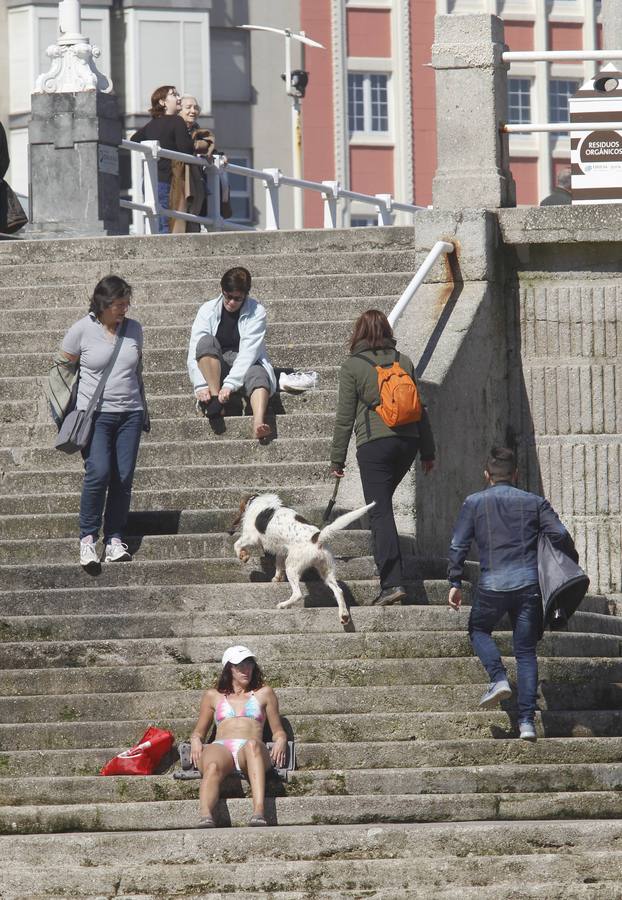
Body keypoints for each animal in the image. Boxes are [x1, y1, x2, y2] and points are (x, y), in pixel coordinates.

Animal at [230, 492, 372, 624]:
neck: (256, 500)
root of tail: (317, 538)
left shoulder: (251, 537)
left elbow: (236, 544)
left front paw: (243, 556)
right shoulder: (281, 550)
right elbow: (278, 564)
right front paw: (277, 578)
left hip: (292, 567)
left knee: (298, 594)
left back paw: (283, 605)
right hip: (326, 570)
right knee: (339, 590)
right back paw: (344, 615)